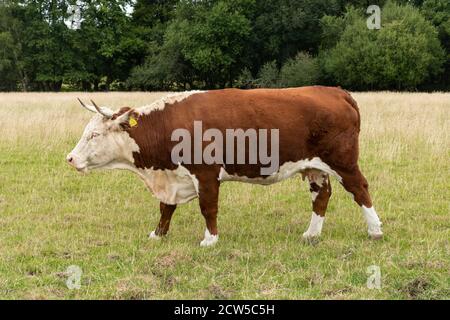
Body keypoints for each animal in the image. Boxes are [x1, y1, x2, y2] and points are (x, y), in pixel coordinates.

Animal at [67, 86, 384, 246]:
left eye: (94, 135)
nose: (70, 158)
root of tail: (335, 91)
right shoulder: (172, 178)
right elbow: (166, 208)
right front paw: (157, 235)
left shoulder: (205, 174)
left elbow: (208, 207)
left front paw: (210, 239)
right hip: (314, 167)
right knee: (322, 195)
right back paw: (312, 234)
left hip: (343, 161)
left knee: (360, 189)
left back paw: (375, 230)